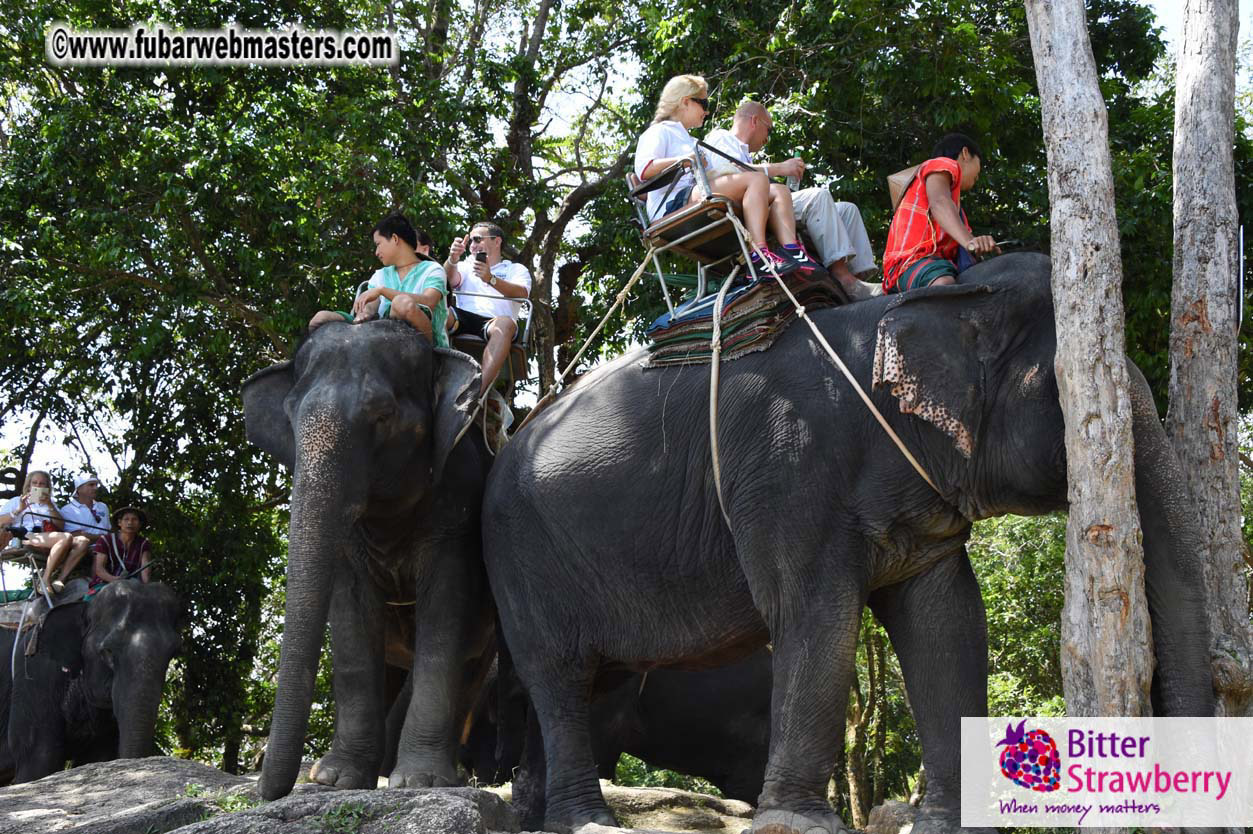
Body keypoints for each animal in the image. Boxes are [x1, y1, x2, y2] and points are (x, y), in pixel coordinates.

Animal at [0, 579, 181, 784]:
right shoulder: (34, 672)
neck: (84, 604)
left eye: (174, 652)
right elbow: (39, 761)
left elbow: (96, 757)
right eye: (107, 651)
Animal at [242, 318, 495, 801]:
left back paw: (447, 775)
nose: (267, 787)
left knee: (472, 668)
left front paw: (419, 782)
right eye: (291, 418)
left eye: (383, 416)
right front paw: (336, 780)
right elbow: (351, 621)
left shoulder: (457, 515)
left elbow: (444, 616)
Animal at [481, 253, 1214, 834]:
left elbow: (947, 621)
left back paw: (538, 820)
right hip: (521, 559)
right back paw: (589, 823)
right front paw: (797, 822)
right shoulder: (789, 467)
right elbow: (816, 614)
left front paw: (946, 825)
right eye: (1079, 389)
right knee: (559, 676)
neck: (934, 301)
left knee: (595, 681)